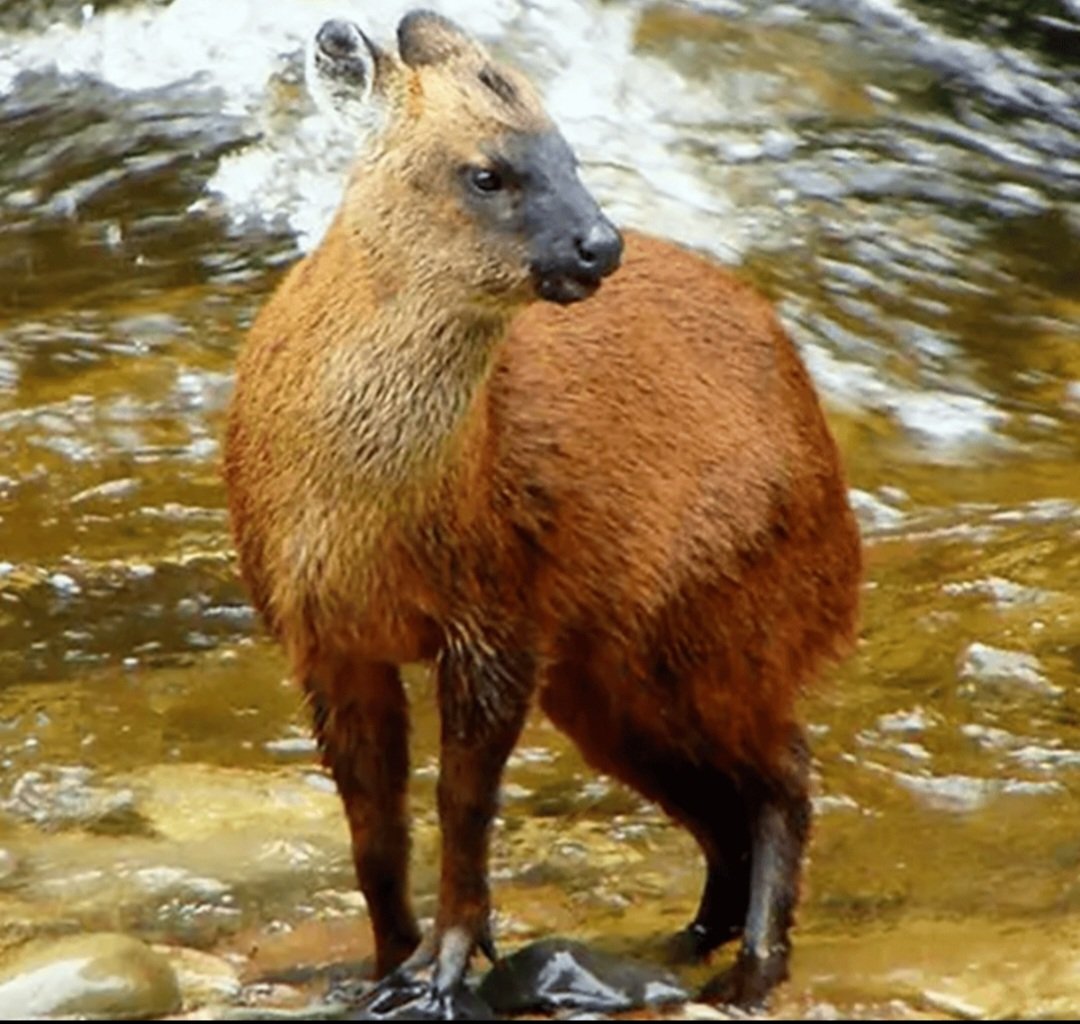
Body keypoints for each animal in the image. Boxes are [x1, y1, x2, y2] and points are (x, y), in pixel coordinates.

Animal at [225, 12, 859, 1019]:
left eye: (570, 149)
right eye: (487, 171)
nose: (601, 245)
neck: (364, 513)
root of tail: (844, 540)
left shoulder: (499, 614)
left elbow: (463, 805)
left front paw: (444, 965)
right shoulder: (319, 633)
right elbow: (372, 825)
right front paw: (382, 966)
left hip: (720, 623)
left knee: (786, 773)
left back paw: (752, 971)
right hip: (613, 678)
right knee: (723, 802)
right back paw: (682, 944)